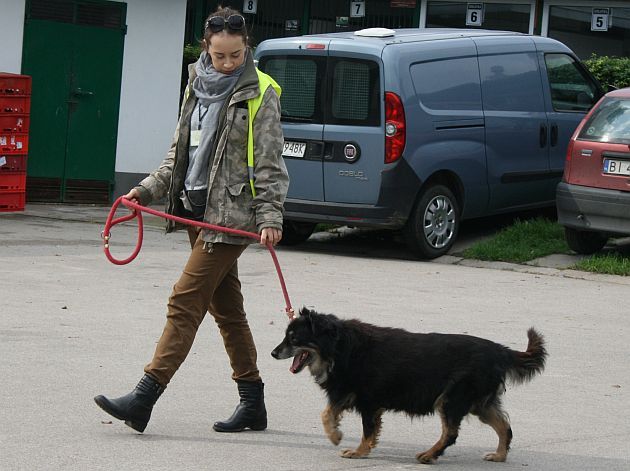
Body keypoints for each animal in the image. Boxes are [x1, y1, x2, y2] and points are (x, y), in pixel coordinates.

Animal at [272, 308, 548, 466]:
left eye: (293, 338)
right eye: (286, 336)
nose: (273, 353)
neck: (340, 347)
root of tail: (500, 350)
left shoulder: (368, 401)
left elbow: (363, 429)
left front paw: (355, 449)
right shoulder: (347, 394)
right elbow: (328, 413)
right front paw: (337, 435)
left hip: (451, 399)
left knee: (451, 433)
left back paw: (429, 455)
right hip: (480, 404)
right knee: (504, 427)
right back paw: (499, 455)